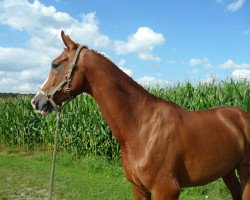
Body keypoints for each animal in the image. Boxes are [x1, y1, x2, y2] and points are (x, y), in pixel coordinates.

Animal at [32, 30, 250, 199]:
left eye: (55, 64)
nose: (37, 102)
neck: (142, 128)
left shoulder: (166, 191)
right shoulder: (139, 189)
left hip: (245, 171)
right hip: (228, 171)